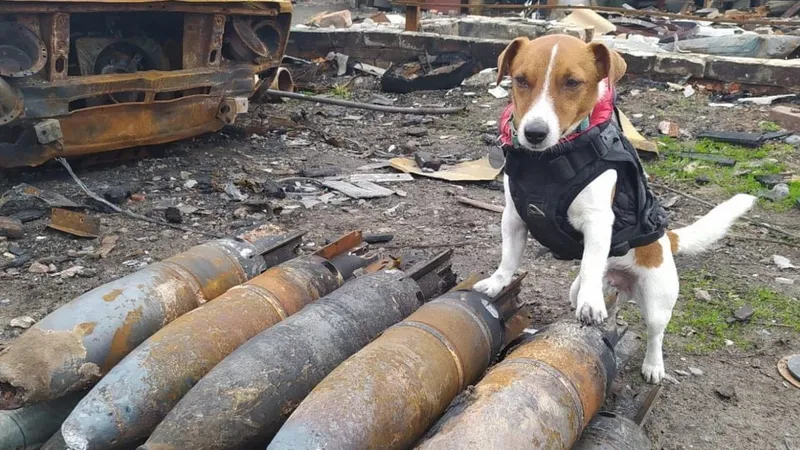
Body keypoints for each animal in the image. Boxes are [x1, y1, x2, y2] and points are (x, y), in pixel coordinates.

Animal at [476, 34, 756, 384]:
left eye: (572, 82)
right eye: (521, 80)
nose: (534, 133)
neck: (549, 162)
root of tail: (667, 241)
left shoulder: (598, 223)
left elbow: (590, 262)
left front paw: (591, 303)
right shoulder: (514, 218)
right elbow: (508, 259)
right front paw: (497, 282)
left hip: (658, 300)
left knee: (655, 334)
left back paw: (653, 365)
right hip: (588, 288)